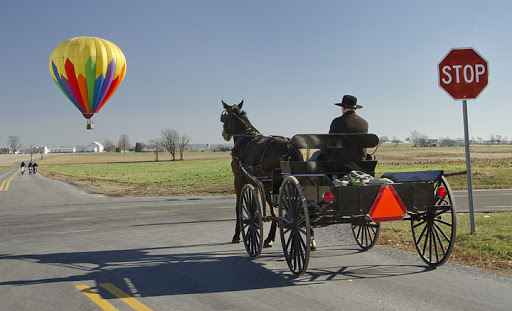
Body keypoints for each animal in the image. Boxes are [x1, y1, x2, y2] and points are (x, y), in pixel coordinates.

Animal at [219, 100, 304, 249]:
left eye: (224, 117)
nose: (225, 134)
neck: (245, 139)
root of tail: (290, 147)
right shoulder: (255, 182)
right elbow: (256, 204)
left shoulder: (238, 180)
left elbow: (239, 207)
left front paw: (237, 235)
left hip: (270, 184)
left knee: (277, 210)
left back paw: (271, 237)